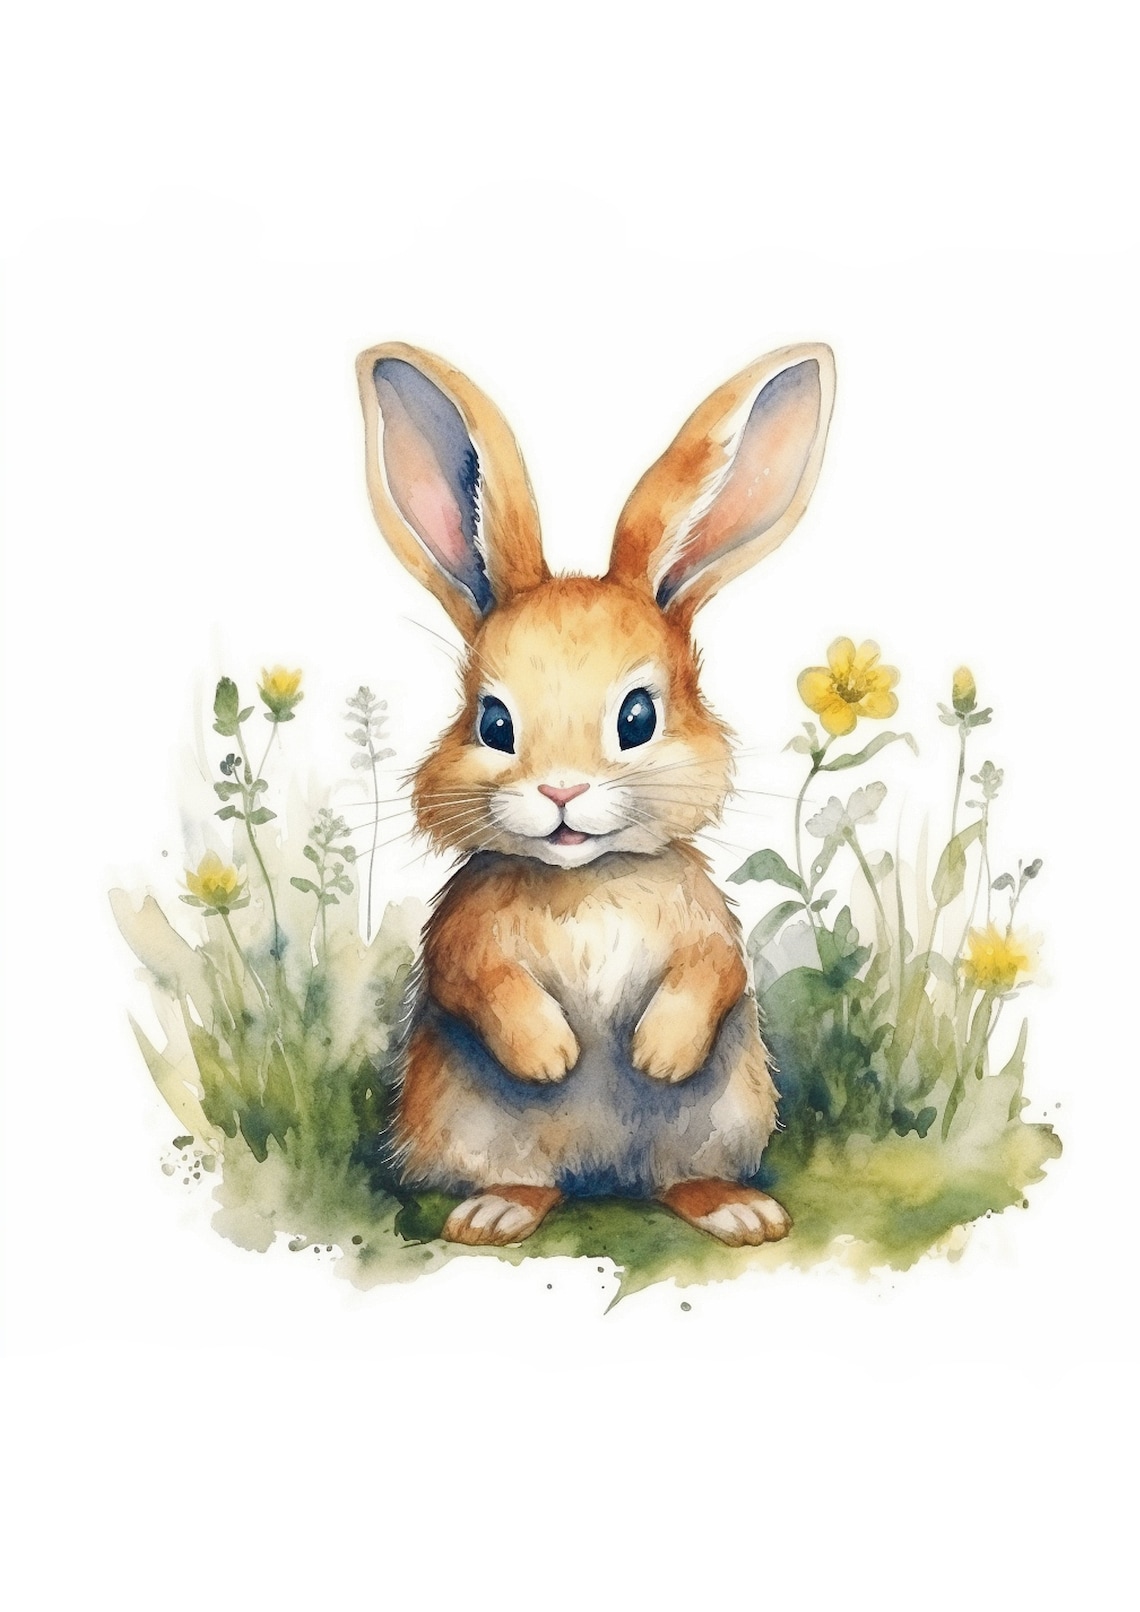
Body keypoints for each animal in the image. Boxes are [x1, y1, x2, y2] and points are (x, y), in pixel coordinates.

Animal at [356, 339, 835, 1247]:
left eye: (638, 716)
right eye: (494, 722)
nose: (562, 790)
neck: (586, 883)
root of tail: (601, 1176)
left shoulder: (705, 927)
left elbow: (714, 971)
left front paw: (657, 1053)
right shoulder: (461, 936)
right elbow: (478, 977)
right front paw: (551, 1054)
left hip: (722, 1115)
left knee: (678, 1179)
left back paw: (738, 1211)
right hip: (475, 1127)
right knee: (532, 1181)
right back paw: (498, 1212)